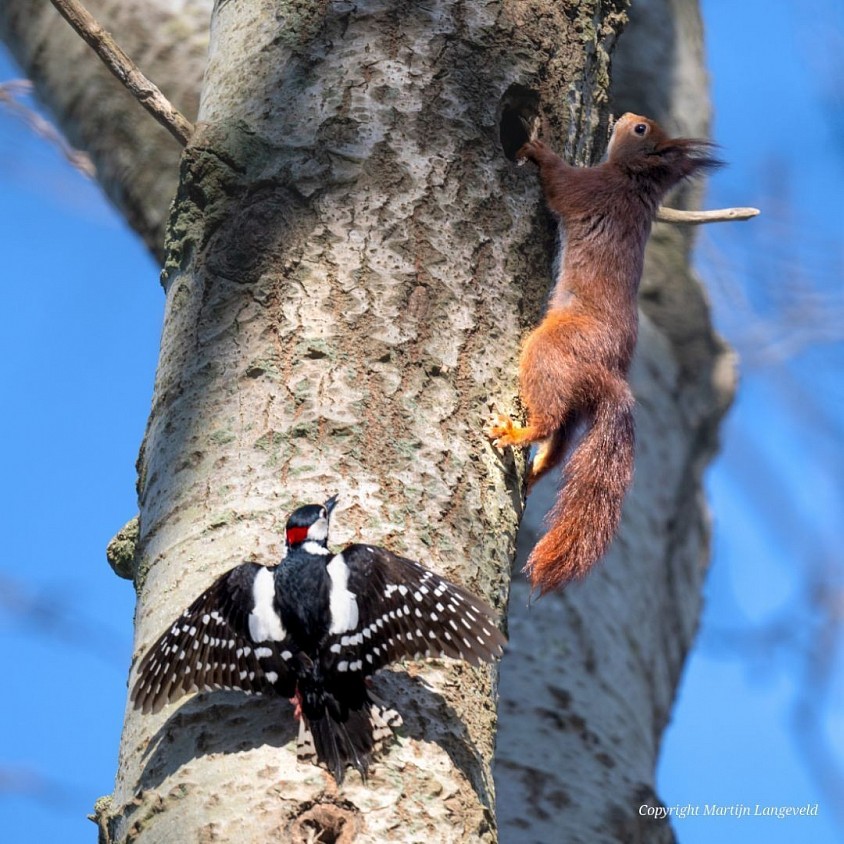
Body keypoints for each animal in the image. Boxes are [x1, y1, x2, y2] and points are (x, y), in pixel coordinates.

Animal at [488, 112, 722, 594]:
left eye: (642, 131)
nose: (627, 116)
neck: (635, 184)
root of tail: (607, 375)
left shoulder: (592, 188)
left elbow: (560, 184)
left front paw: (538, 150)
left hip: (550, 350)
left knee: (549, 422)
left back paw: (517, 434)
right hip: (573, 390)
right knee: (561, 442)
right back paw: (536, 470)